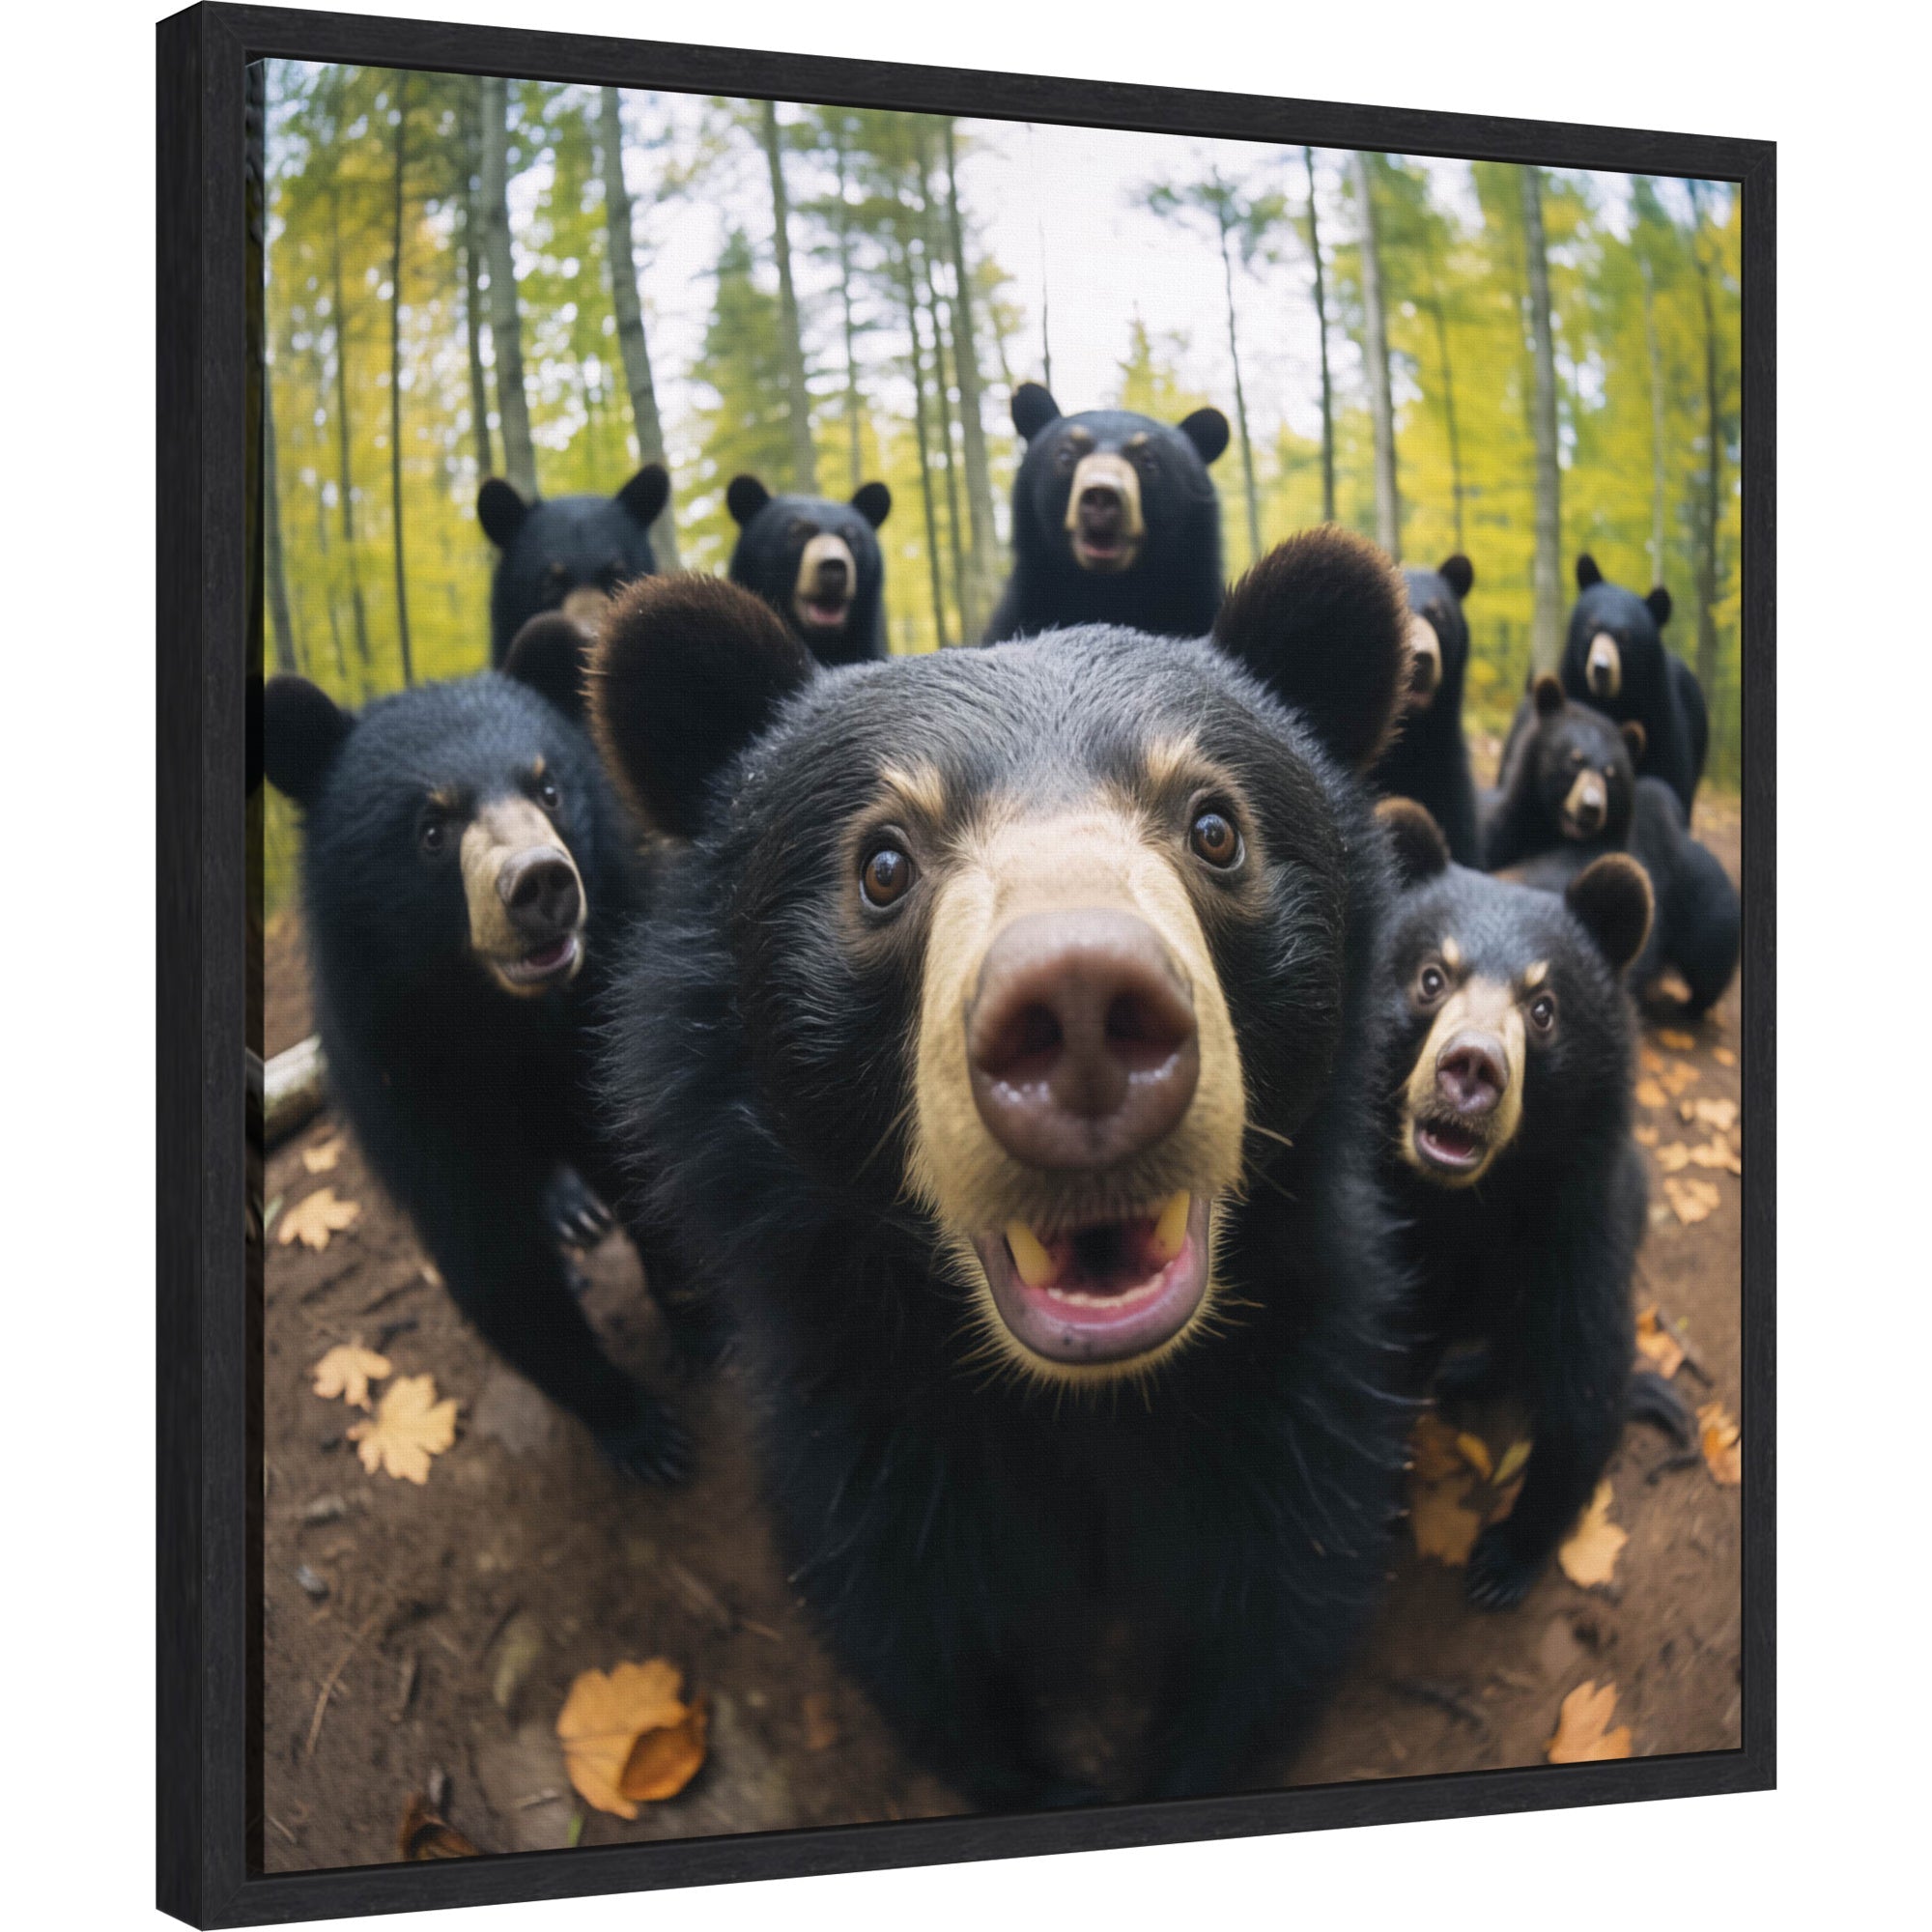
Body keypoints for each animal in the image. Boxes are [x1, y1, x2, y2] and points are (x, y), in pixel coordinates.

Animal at [261, 614, 709, 1480]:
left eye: (547, 788)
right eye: (432, 828)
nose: (541, 885)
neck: (507, 1022)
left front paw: (702, 1330)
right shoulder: (400, 1069)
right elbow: (486, 1251)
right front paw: (639, 1431)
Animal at [585, 530, 1420, 1809]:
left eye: (1212, 827)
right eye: (882, 862)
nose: (1078, 1006)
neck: (1080, 1405)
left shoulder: (1296, 1390)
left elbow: (1276, 1611)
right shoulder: (863, 1422)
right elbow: (918, 1639)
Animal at [1375, 797, 1654, 1609]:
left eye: (1543, 1008)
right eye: (1432, 977)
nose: (1471, 1068)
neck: (1470, 1203)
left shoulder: (1577, 1224)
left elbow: (1586, 1386)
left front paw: (1504, 1559)